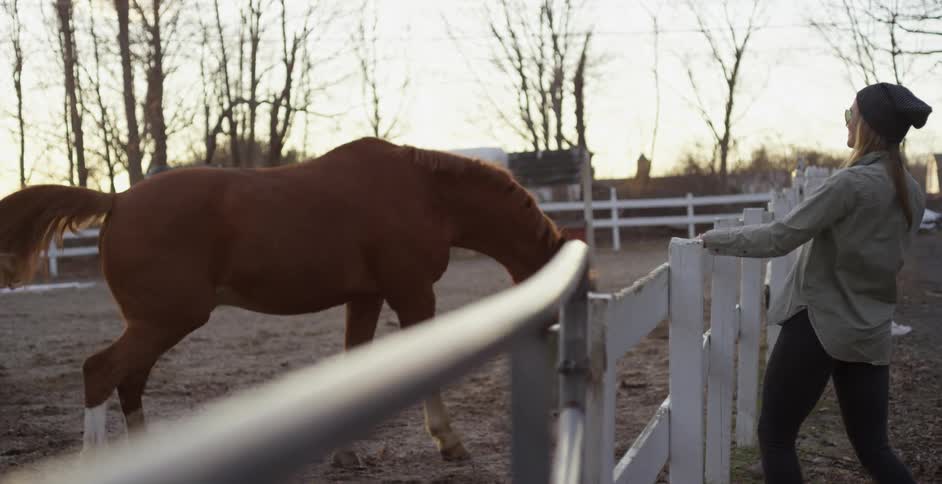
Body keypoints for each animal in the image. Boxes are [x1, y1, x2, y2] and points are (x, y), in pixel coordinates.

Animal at [0, 137, 567, 467]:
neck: (425, 193)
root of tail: (117, 200)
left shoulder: (366, 298)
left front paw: (346, 452)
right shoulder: (411, 293)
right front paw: (449, 442)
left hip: (155, 322)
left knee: (128, 380)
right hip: (166, 319)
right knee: (101, 371)